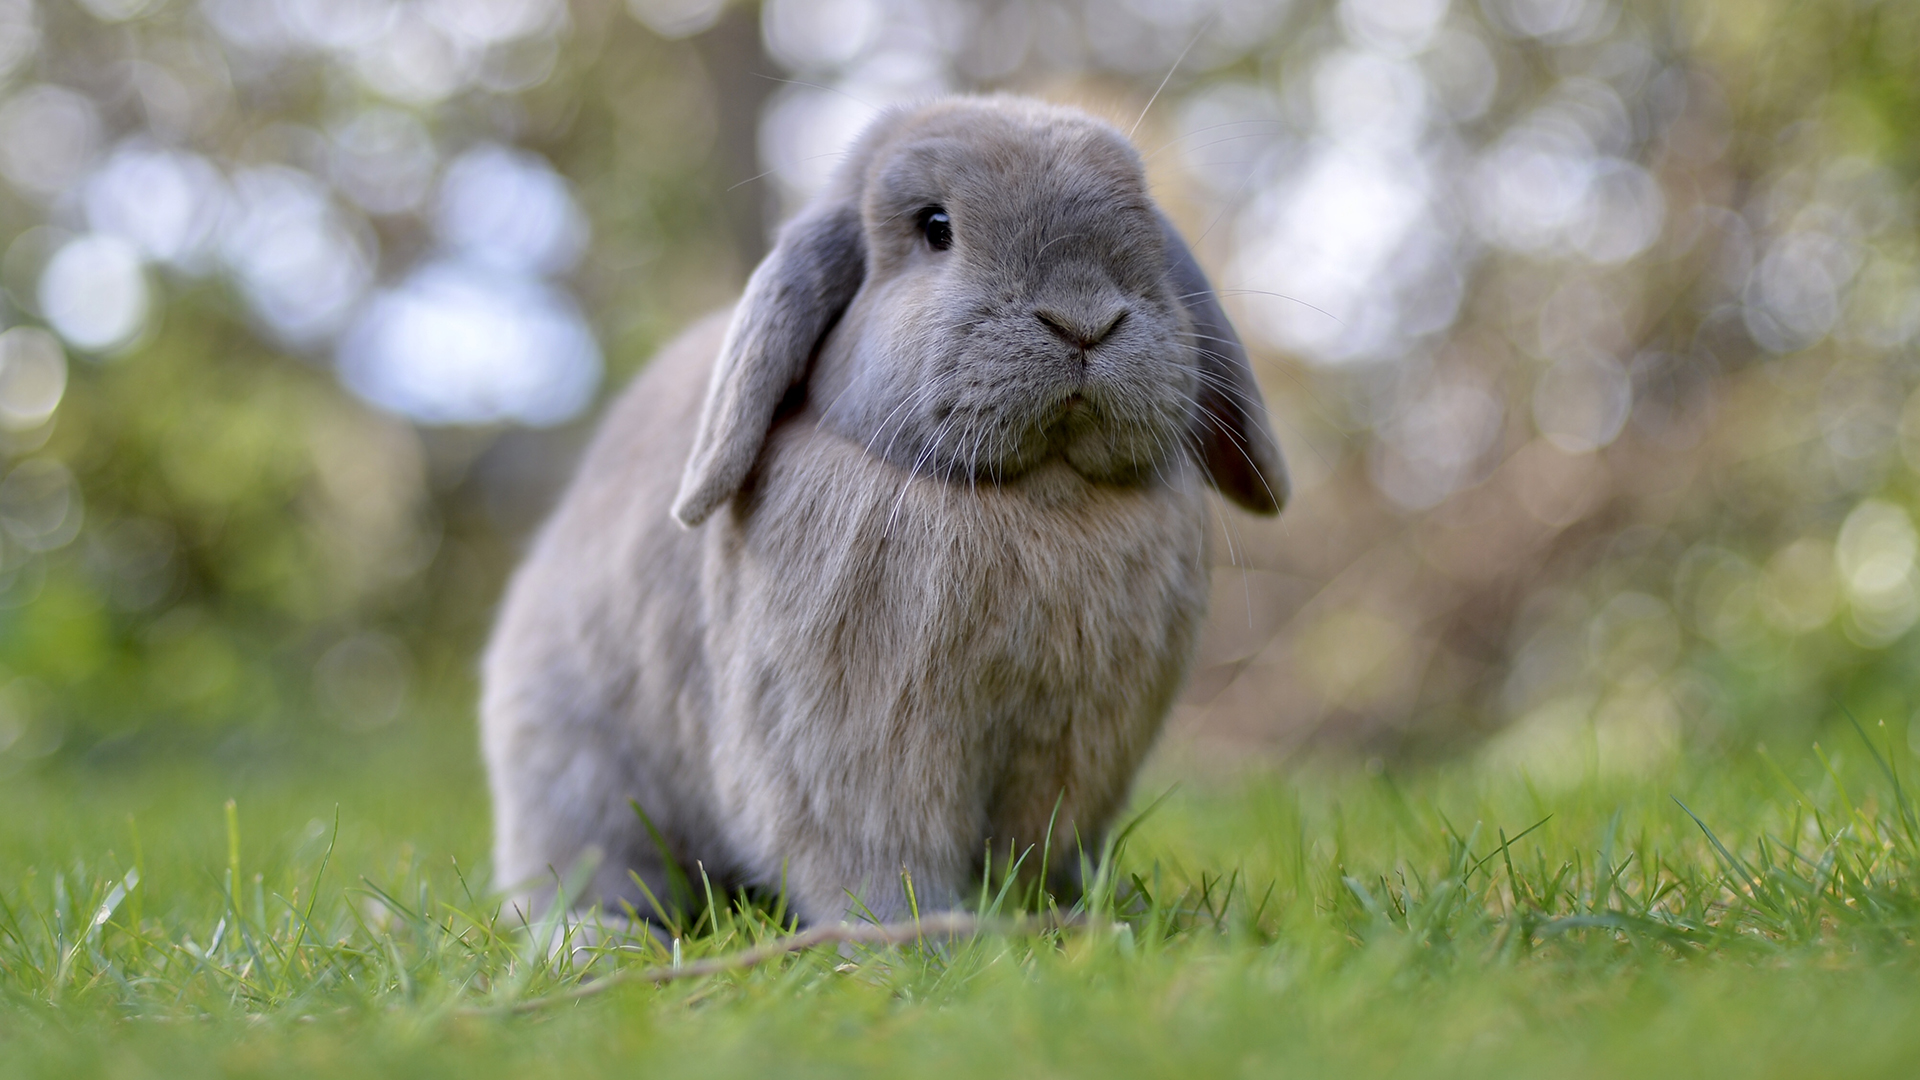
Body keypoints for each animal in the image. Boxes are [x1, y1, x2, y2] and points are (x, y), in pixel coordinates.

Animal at [480, 94, 1290, 926]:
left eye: (1145, 223)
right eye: (935, 227)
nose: (1083, 318)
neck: (1040, 497)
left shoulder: (1075, 752)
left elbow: (1043, 846)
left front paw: (1063, 911)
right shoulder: (855, 750)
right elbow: (877, 857)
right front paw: (931, 933)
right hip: (575, 768)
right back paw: (596, 936)